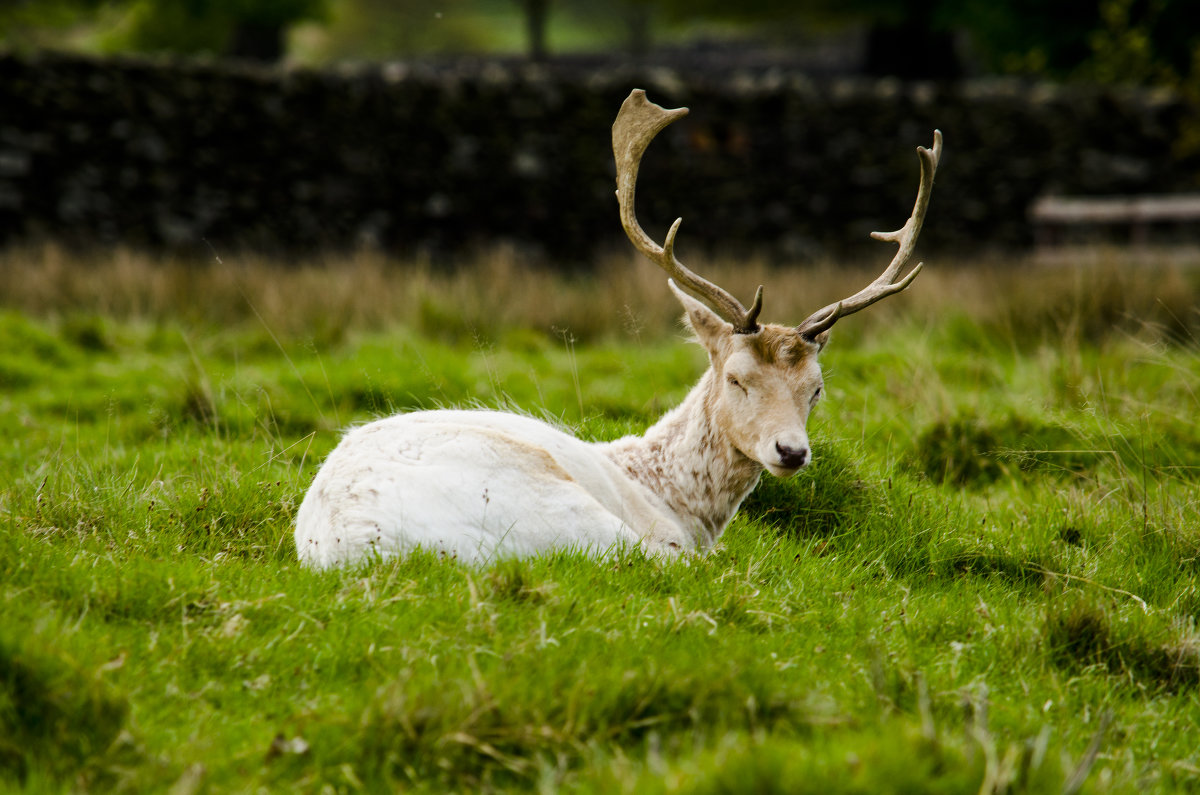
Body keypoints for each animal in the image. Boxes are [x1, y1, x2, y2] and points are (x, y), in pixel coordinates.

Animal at [295, 90, 940, 569]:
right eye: (737, 378)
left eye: (816, 387)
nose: (792, 451)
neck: (675, 502)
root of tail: (358, 546)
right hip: (570, 517)